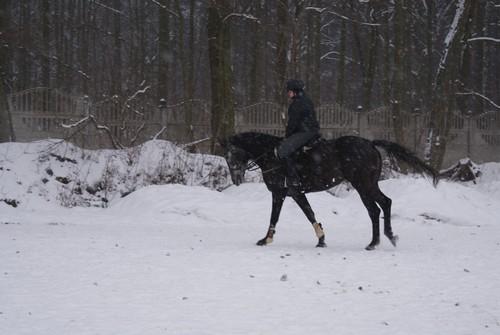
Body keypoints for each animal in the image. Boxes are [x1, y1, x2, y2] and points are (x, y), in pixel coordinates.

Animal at [219, 133, 438, 251]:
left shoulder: (287, 193)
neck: (272, 156)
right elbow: (297, 215)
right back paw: (381, 239)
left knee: (379, 207)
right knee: (381, 206)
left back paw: (381, 240)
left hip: (363, 185)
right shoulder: (286, 194)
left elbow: (294, 215)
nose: (236, 180)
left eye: (230, 155)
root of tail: (370, 143)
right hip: (368, 185)